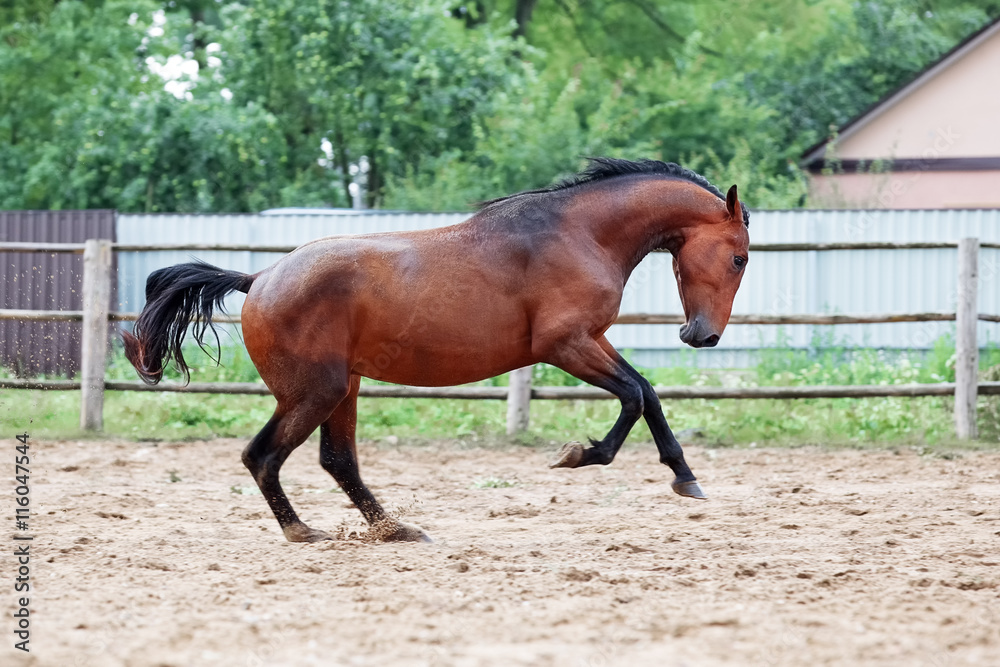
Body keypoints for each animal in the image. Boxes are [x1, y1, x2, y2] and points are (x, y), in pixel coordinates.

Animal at [123, 159, 752, 544]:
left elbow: (646, 392)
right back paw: (303, 531)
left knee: (337, 460)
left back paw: (395, 530)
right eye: (740, 257)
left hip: (343, 388)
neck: (580, 234)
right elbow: (634, 396)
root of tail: (259, 279)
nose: (702, 336)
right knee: (263, 455)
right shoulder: (566, 345)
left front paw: (684, 477)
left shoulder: (590, 342)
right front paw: (580, 455)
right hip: (314, 392)